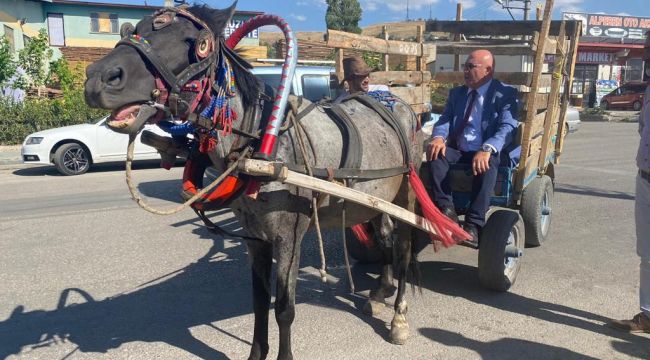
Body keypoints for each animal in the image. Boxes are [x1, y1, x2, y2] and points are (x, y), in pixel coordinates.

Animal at [83, 3, 440, 360]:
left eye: (198, 44)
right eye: (132, 29)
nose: (98, 79)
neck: (259, 145)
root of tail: (396, 100)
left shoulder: (288, 238)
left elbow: (283, 308)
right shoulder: (255, 238)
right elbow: (258, 302)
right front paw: (256, 352)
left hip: (406, 194)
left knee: (404, 249)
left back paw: (398, 316)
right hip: (376, 199)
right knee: (385, 239)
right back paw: (380, 292)